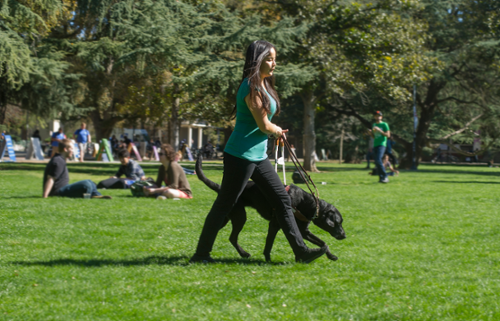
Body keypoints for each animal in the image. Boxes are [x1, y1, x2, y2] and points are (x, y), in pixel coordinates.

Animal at [197, 155, 346, 260]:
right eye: (337, 222)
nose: (344, 235)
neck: (306, 203)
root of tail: (220, 188)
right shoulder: (275, 224)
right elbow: (269, 244)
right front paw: (268, 259)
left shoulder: (304, 231)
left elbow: (323, 243)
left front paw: (330, 256)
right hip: (240, 216)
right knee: (232, 237)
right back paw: (242, 253)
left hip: (227, 217)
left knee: (220, 232)